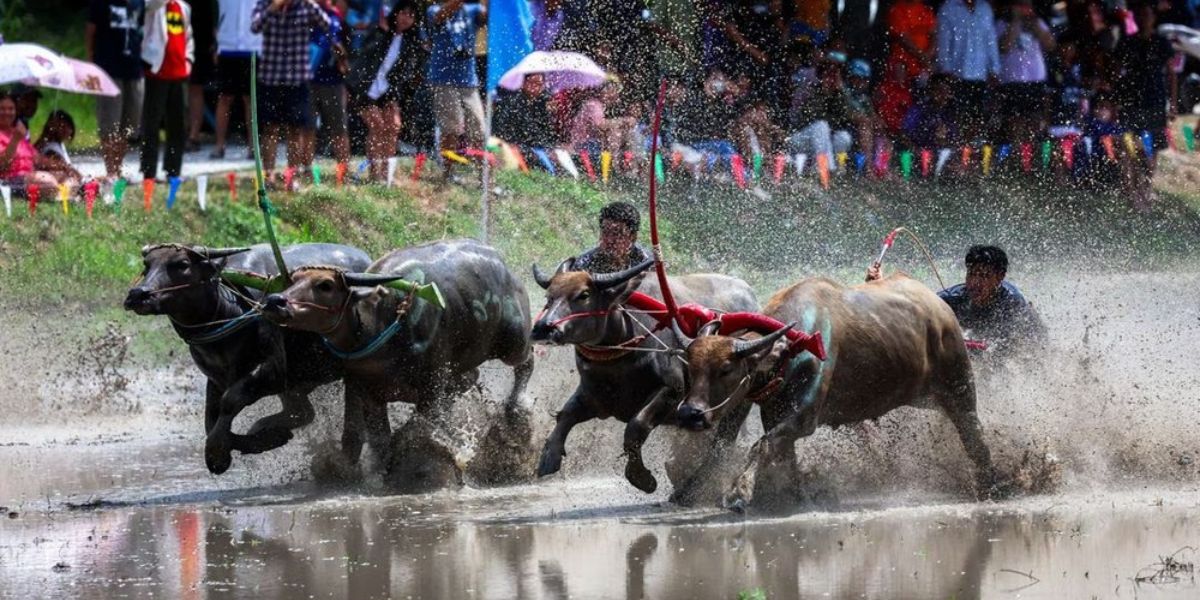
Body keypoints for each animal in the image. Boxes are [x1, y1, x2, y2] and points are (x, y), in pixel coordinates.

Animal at [123, 242, 369, 472]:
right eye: (147, 265)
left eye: (182, 264)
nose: (138, 294)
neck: (228, 312)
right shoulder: (216, 378)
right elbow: (210, 419)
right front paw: (267, 438)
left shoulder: (272, 371)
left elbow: (230, 401)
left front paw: (217, 453)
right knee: (302, 412)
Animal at [262, 238, 535, 487]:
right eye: (293, 281)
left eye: (325, 285)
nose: (275, 301)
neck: (381, 323)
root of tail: (502, 265)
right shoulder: (365, 390)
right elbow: (375, 438)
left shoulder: (431, 384)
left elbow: (420, 429)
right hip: (463, 364)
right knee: (471, 379)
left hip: (513, 341)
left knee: (526, 361)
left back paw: (516, 411)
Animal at [528, 256, 753, 496]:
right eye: (549, 297)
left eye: (583, 295)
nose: (543, 327)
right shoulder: (594, 398)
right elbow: (566, 415)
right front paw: (548, 457)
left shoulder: (672, 391)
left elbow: (636, 426)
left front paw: (641, 478)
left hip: (738, 406)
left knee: (723, 442)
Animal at [676, 274, 1003, 513]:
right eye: (690, 367)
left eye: (726, 369)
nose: (690, 413)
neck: (793, 347)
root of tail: (941, 309)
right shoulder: (773, 412)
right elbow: (773, 452)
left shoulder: (804, 418)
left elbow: (761, 444)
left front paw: (738, 492)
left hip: (959, 386)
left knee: (973, 433)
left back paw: (991, 485)